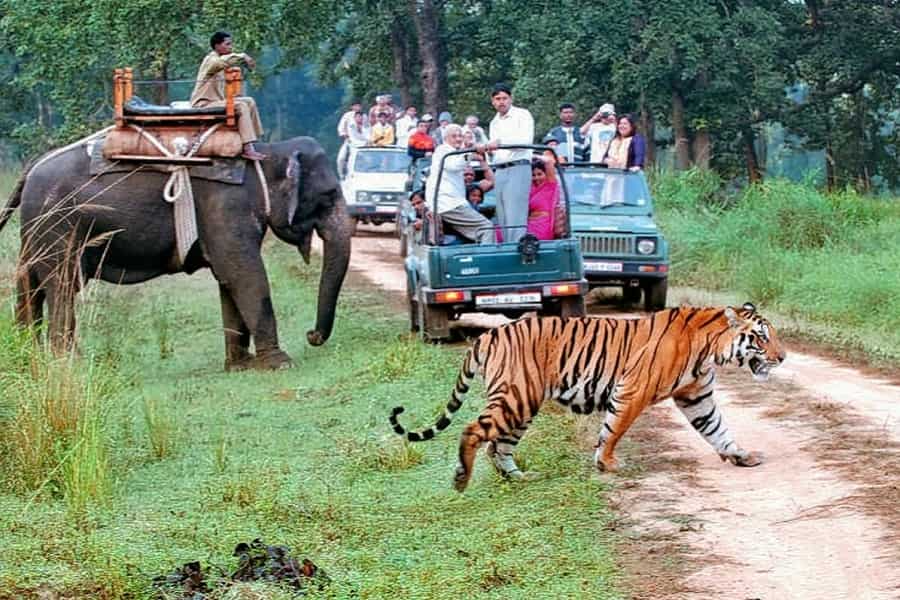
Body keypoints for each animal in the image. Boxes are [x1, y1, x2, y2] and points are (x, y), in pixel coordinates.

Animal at [0, 136, 352, 370]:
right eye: (328, 195)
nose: (311, 335)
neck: (267, 152)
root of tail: (31, 168)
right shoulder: (226, 206)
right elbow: (244, 273)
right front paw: (281, 364)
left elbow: (228, 278)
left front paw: (241, 366)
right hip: (58, 225)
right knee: (61, 284)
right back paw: (70, 364)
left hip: (36, 228)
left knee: (29, 285)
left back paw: (31, 358)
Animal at [390, 302, 784, 490]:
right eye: (761, 338)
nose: (782, 357)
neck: (710, 350)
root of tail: (488, 334)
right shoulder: (632, 391)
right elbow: (614, 429)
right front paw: (607, 463)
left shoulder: (696, 397)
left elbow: (717, 429)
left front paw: (741, 455)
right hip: (517, 397)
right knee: (473, 431)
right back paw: (461, 479)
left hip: (522, 404)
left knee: (498, 446)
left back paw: (519, 478)